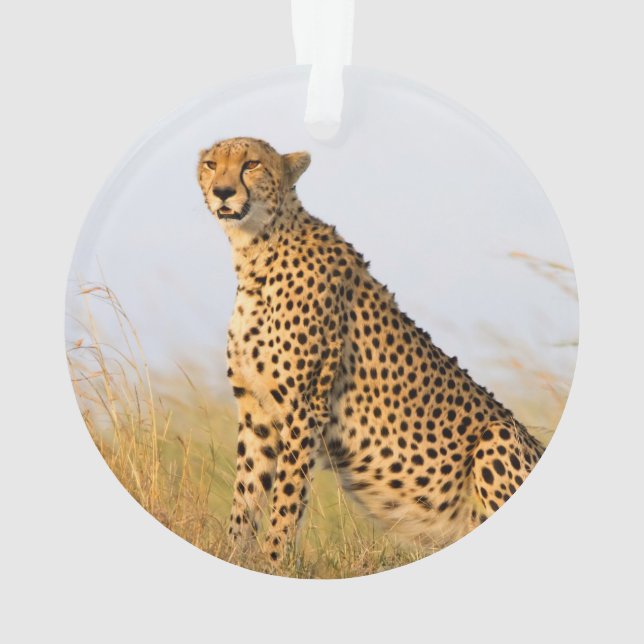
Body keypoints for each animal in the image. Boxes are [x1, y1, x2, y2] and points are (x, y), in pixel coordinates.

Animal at [197, 136, 545, 564]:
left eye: (251, 165)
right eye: (211, 165)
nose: (222, 191)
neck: (256, 250)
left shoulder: (304, 407)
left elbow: (286, 499)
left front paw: (275, 561)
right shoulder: (256, 411)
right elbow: (246, 495)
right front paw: (234, 555)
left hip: (497, 435)